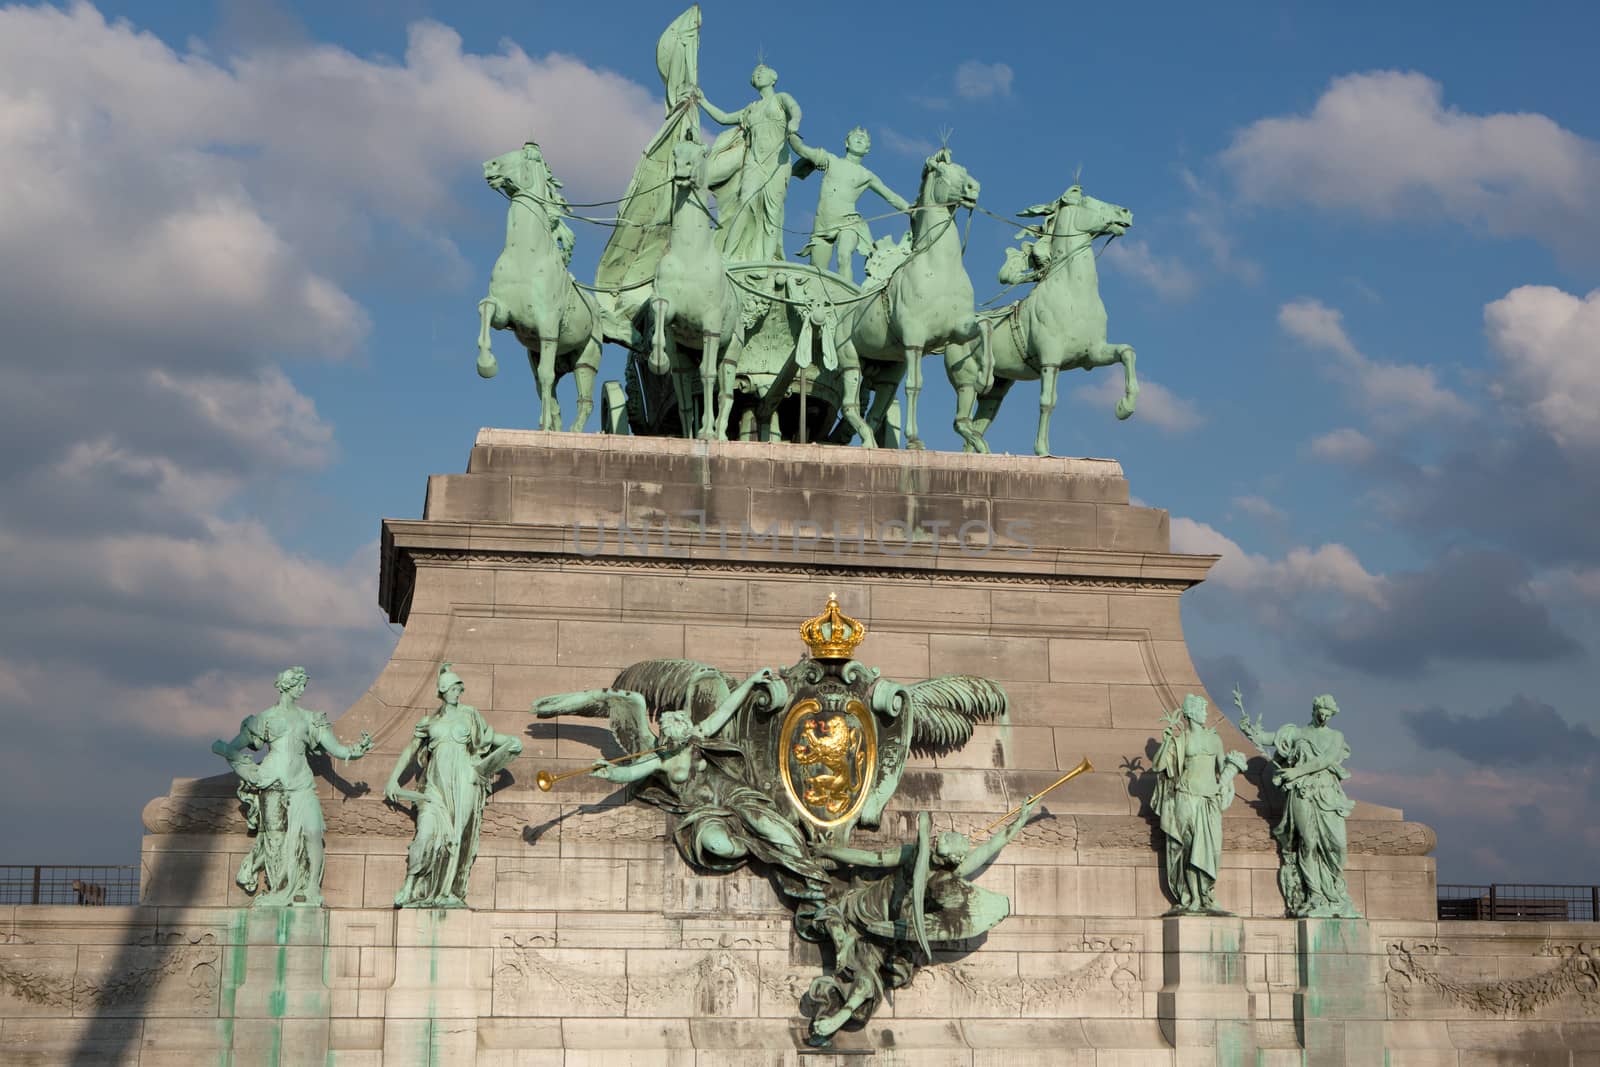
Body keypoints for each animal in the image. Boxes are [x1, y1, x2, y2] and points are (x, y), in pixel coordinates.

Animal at [476, 143, 601, 431]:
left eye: (525, 157)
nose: (488, 166)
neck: (525, 255)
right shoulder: (505, 314)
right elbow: (486, 308)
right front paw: (487, 365)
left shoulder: (548, 327)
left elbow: (546, 376)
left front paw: (543, 426)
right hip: (540, 355)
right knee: (550, 391)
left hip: (585, 359)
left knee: (583, 400)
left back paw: (573, 432)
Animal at [838, 147, 985, 447]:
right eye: (941, 171)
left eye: (963, 169)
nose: (973, 188)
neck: (940, 269)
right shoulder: (915, 340)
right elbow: (915, 386)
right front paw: (914, 439)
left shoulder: (960, 330)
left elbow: (984, 326)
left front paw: (985, 375)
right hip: (851, 362)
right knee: (850, 405)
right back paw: (868, 441)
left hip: (889, 370)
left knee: (876, 409)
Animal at [947, 185, 1139, 454]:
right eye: (1088, 202)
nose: (1126, 212)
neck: (1074, 293)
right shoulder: (1051, 359)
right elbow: (1047, 402)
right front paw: (1042, 451)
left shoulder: (1093, 354)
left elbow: (1127, 352)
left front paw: (1124, 408)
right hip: (967, 383)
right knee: (960, 421)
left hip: (996, 390)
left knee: (975, 424)